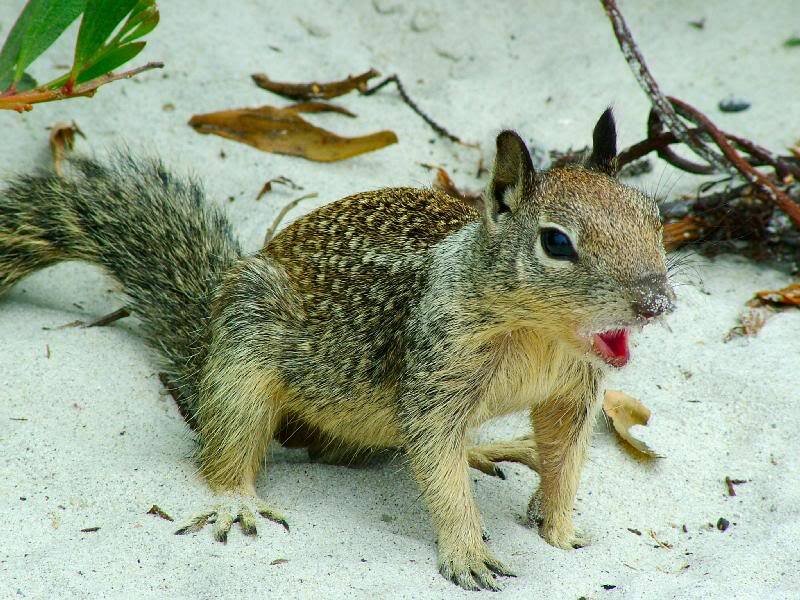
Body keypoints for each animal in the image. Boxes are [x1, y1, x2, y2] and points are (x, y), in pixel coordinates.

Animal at [0, 109, 674, 591]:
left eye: (654, 217)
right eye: (556, 243)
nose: (657, 302)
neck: (541, 336)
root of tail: (205, 340)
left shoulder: (574, 393)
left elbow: (564, 461)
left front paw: (562, 534)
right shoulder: (435, 377)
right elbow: (440, 469)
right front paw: (468, 553)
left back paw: (490, 446)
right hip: (245, 358)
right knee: (225, 446)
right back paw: (235, 501)